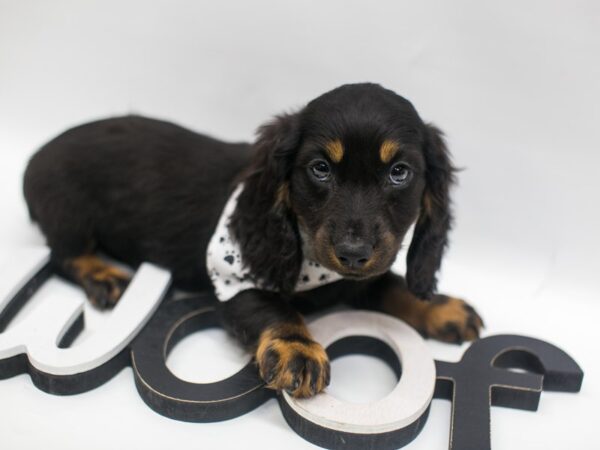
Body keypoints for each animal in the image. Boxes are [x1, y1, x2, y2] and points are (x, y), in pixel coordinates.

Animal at [23, 83, 482, 398]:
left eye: (399, 172)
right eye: (320, 169)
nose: (353, 255)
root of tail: (36, 156)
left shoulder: (362, 275)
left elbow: (393, 286)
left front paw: (441, 308)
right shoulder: (235, 279)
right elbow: (274, 310)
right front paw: (299, 349)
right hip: (69, 212)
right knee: (64, 254)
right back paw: (105, 276)